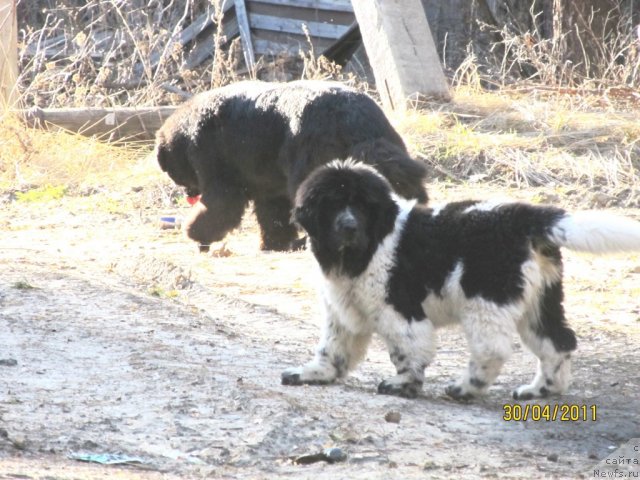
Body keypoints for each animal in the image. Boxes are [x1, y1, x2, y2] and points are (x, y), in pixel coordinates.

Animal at [152, 79, 428, 251]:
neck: (187, 134)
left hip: (311, 150)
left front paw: (197, 236)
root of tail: (352, 118)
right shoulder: (266, 176)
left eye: (173, 171)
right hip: (385, 143)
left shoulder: (215, 157)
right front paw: (275, 242)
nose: (188, 193)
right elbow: (272, 207)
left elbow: (223, 203)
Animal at [282, 159, 640, 400]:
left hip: (485, 298)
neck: (368, 246)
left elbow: (406, 348)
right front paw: (314, 373)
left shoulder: (397, 308)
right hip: (540, 298)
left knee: (492, 349)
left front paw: (403, 384)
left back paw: (465, 387)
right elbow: (333, 347)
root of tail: (521, 217)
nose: (349, 227)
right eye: (332, 205)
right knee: (557, 342)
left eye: (361, 206)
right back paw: (540, 390)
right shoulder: (342, 307)